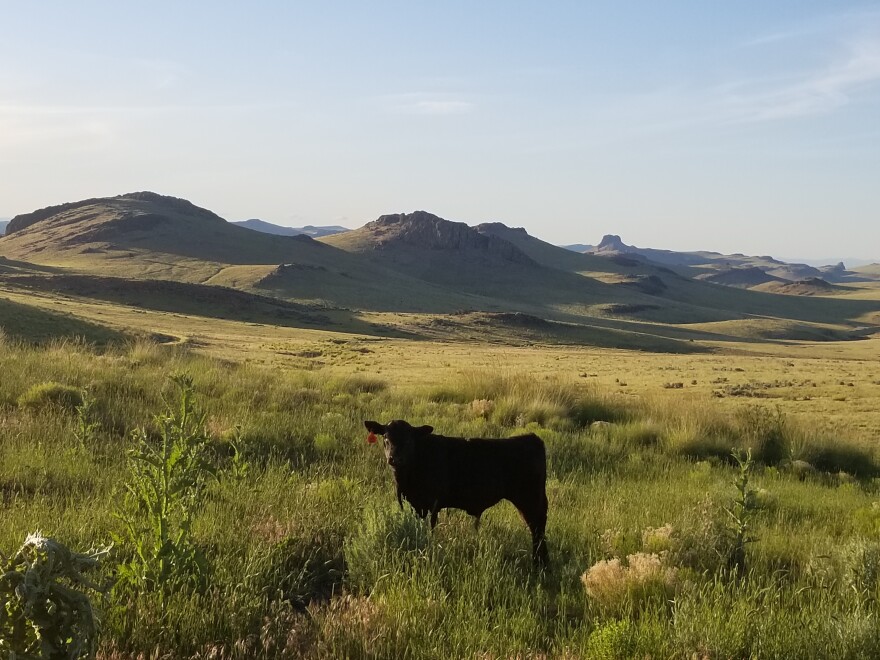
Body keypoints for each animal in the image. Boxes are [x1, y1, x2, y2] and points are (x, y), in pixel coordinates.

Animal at [360, 420, 548, 564]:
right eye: (385, 437)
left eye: (409, 439)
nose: (394, 458)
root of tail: (532, 438)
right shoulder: (416, 505)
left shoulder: (433, 504)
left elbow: (431, 528)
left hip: (530, 500)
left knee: (537, 529)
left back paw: (539, 564)